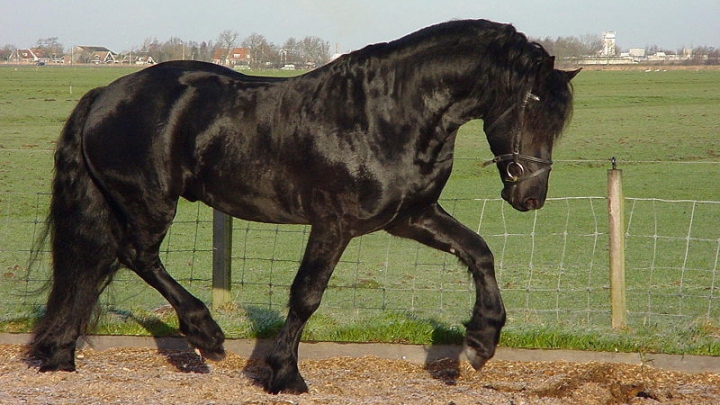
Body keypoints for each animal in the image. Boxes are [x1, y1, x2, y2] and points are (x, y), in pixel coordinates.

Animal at [31, 19, 580, 392]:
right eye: (532, 105)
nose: (529, 196)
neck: (385, 115)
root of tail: (106, 93)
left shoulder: (410, 217)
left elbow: (479, 252)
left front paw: (482, 340)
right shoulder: (334, 225)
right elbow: (306, 296)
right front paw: (284, 374)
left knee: (94, 265)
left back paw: (59, 354)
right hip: (148, 201)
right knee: (135, 256)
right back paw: (205, 333)